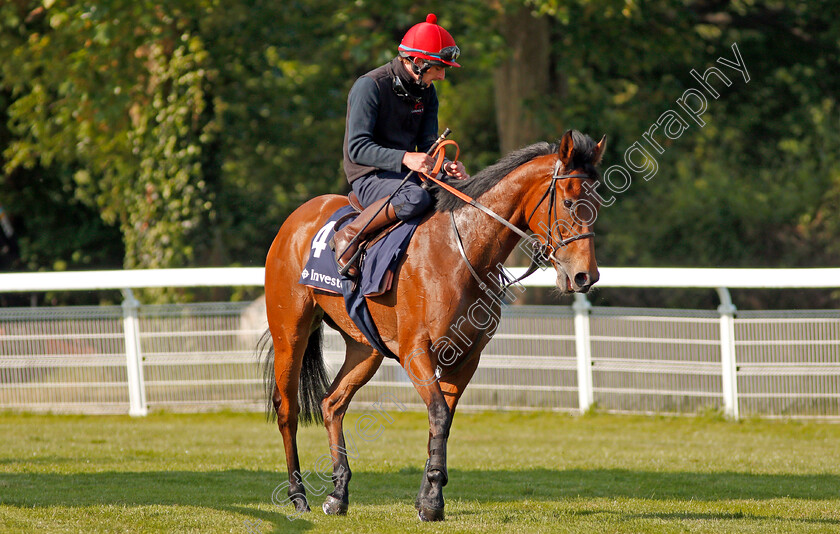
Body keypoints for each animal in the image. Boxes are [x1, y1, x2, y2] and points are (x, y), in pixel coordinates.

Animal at [260, 130, 604, 524]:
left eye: (596, 202)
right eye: (569, 201)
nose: (585, 276)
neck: (460, 250)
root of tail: (296, 220)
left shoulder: (465, 357)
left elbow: (442, 421)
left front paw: (428, 496)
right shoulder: (416, 352)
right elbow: (438, 413)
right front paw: (433, 498)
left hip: (365, 348)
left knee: (332, 404)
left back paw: (338, 494)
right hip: (291, 333)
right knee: (288, 410)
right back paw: (297, 495)